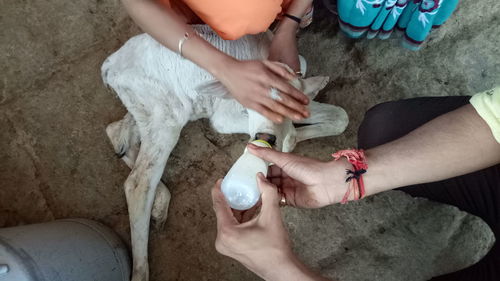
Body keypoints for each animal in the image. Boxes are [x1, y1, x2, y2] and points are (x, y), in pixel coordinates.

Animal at [102, 25, 348, 280]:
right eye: (257, 102)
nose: (266, 137)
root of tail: (110, 65)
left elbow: (340, 116)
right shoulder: (225, 116)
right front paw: (290, 140)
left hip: (149, 107)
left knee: (117, 131)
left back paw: (157, 200)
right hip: (166, 114)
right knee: (139, 182)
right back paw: (142, 266)